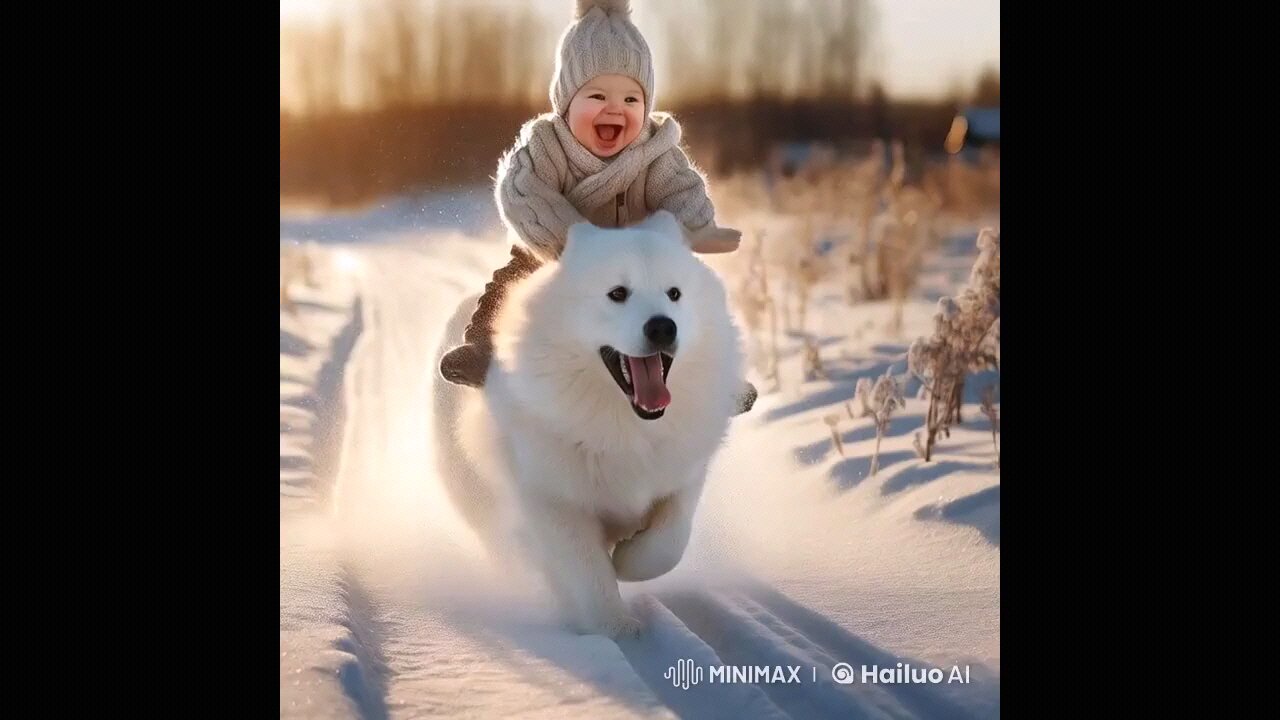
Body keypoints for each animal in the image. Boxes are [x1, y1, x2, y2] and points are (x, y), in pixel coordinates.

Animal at [432, 210, 747, 635]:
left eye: (674, 293)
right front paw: (616, 629)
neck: (622, 424)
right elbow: (587, 571)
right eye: (617, 293)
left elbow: (668, 542)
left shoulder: (682, 474)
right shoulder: (554, 501)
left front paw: (628, 561)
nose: (663, 327)